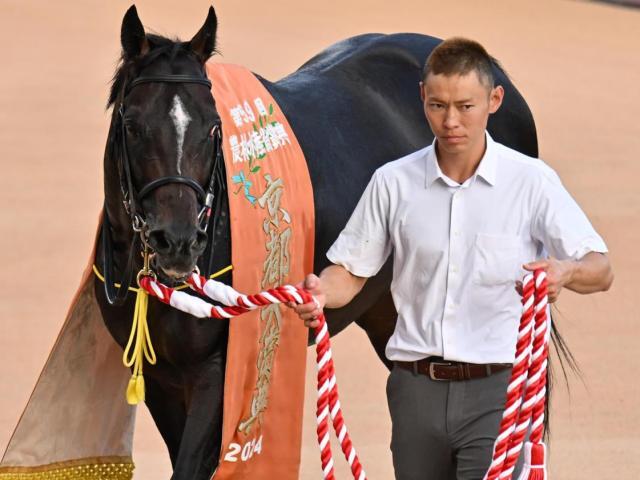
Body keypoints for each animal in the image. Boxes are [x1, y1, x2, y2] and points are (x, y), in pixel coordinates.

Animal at [92, 4, 536, 480]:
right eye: (132, 124)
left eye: (213, 127)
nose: (177, 241)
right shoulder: (162, 378)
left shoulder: (221, 370)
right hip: (389, 312)